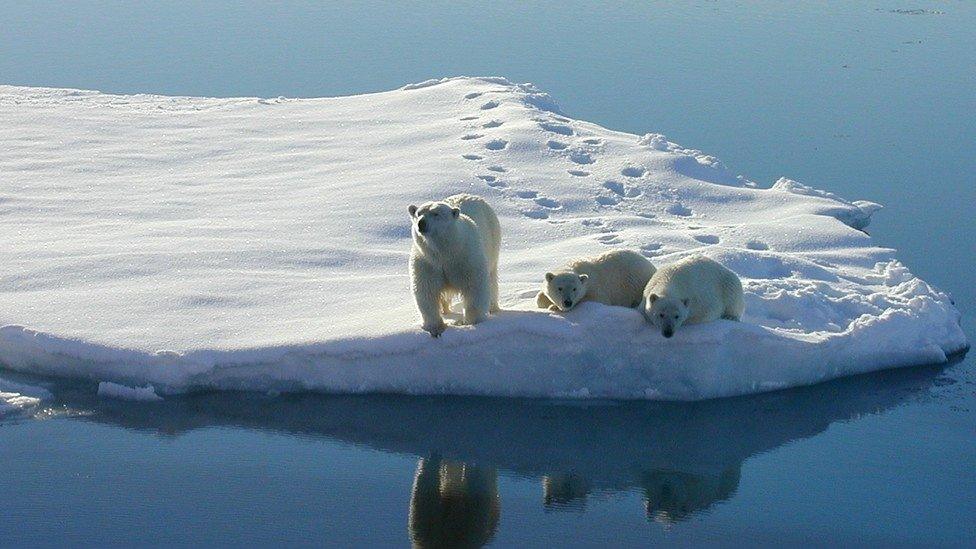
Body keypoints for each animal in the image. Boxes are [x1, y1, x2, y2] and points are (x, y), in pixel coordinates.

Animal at [406, 193, 500, 338]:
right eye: (418, 213)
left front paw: (471, 322)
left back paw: (493, 308)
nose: (421, 223)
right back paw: (445, 310)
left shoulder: (465, 259)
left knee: (491, 278)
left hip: (493, 241)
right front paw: (435, 329)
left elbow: (475, 287)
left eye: (436, 213)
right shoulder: (427, 262)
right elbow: (426, 291)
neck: (445, 251)